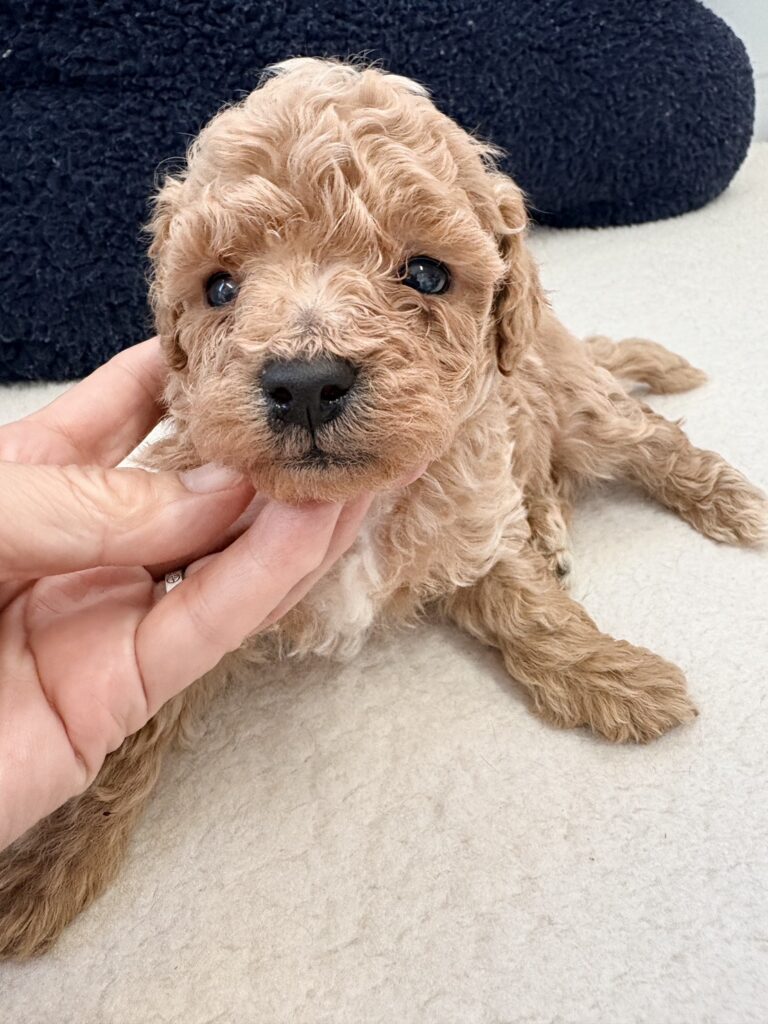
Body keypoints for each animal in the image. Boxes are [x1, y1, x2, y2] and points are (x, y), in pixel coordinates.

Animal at [1, 57, 765, 959]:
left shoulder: (473, 515)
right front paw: (49, 862)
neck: (358, 504)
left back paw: (734, 504)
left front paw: (615, 675)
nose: (303, 382)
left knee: (650, 438)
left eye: (427, 273)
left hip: (577, 398)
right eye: (219, 287)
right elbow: (129, 729)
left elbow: (530, 610)